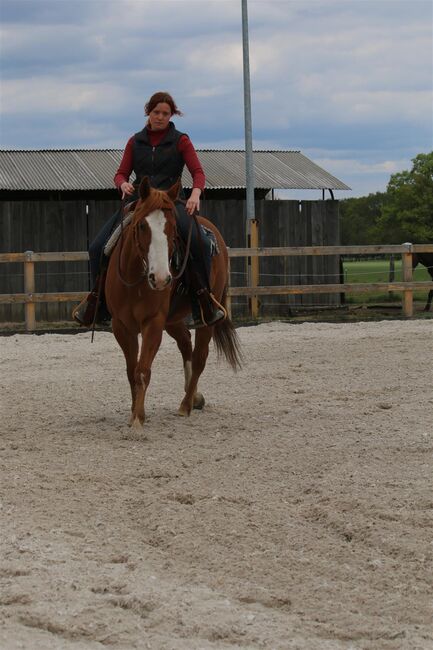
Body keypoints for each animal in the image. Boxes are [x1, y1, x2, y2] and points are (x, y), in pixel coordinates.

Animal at [103, 176, 241, 426]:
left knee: (199, 357)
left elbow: (142, 370)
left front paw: (138, 419)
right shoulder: (121, 326)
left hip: (205, 316)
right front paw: (135, 412)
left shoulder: (154, 322)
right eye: (142, 225)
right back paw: (194, 396)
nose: (160, 278)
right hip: (173, 320)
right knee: (185, 342)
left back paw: (186, 405)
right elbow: (131, 370)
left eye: (173, 228)